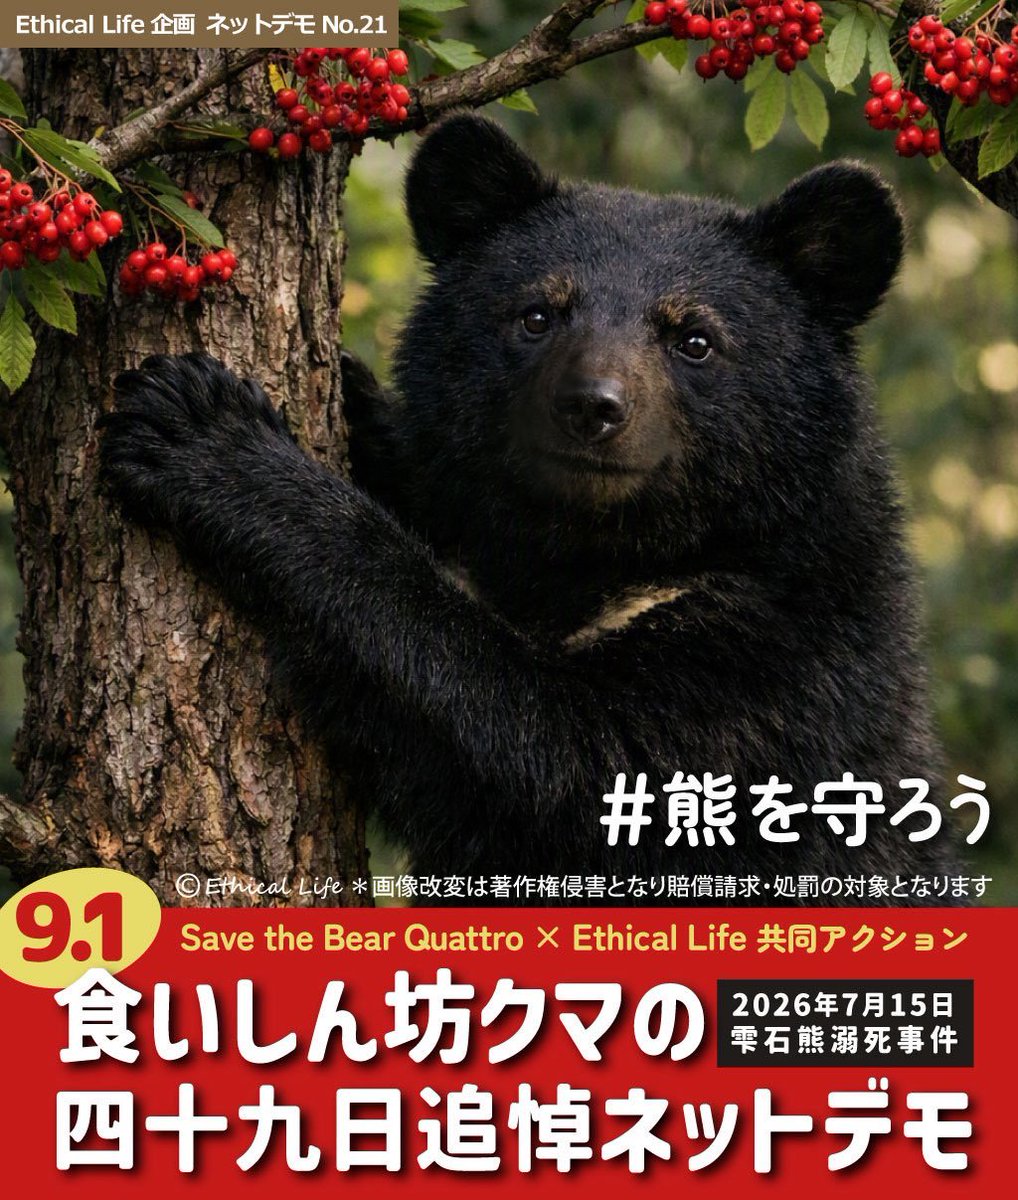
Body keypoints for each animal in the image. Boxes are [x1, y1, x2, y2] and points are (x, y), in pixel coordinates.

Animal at [99, 113, 965, 906]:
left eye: (694, 339)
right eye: (538, 315)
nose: (592, 406)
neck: (603, 554)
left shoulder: (773, 678)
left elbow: (550, 758)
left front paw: (201, 431)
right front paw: (350, 398)